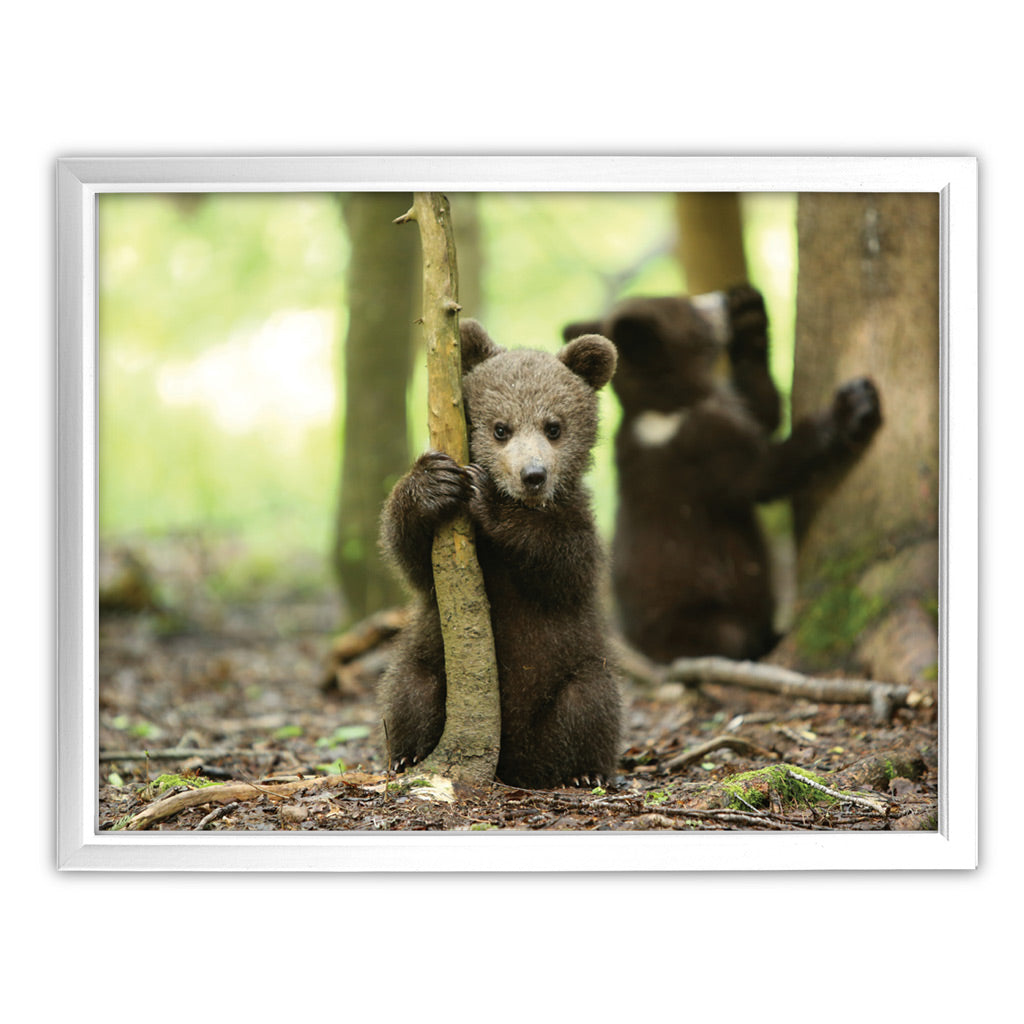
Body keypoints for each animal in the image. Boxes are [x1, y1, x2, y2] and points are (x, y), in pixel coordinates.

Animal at [377, 319, 622, 789]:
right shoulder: (440, 565)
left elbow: (564, 565)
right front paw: (432, 482)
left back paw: (583, 772)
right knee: (409, 689)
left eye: (554, 426)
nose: (533, 475)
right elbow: (411, 558)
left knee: (590, 703)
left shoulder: (578, 526)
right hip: (429, 658)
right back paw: (407, 756)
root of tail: (514, 762)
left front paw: (488, 498)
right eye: (500, 428)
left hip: (576, 669)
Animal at [563, 284, 882, 664]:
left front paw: (749, 311)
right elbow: (762, 475)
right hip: (701, 617)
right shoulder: (702, 447)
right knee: (730, 638)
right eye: (690, 308)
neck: (668, 407)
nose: (720, 298)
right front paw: (853, 405)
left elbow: (762, 410)